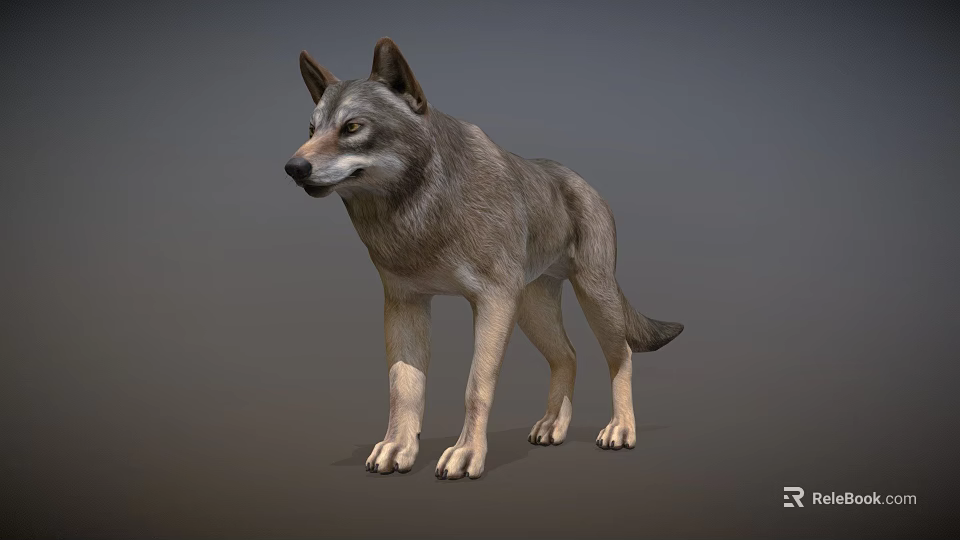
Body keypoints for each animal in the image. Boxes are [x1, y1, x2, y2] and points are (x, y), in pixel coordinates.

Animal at [283, 38, 684, 479]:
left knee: (621, 355)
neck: (421, 209)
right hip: (531, 309)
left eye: (352, 127)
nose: (293, 167)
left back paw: (620, 428)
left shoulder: (492, 302)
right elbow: (403, 388)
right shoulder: (404, 304)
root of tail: (586, 184)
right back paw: (553, 426)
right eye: (311, 130)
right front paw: (398, 447)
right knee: (568, 356)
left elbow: (476, 386)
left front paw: (466, 454)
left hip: (593, 296)